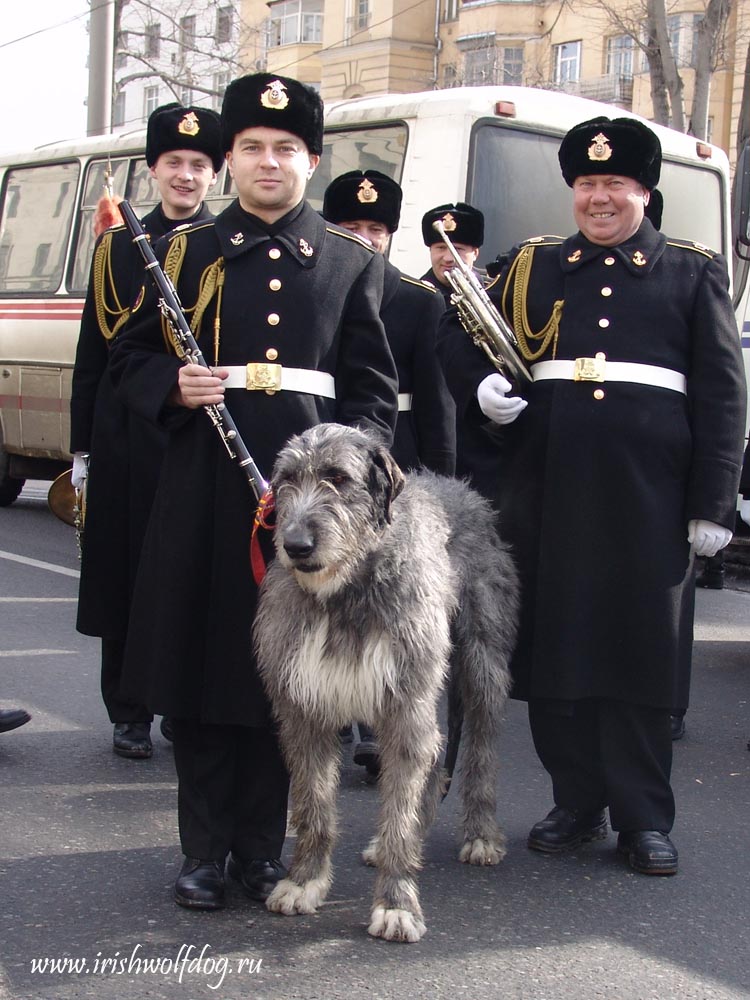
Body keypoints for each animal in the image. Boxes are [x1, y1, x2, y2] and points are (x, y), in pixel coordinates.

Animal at [256, 424, 520, 944]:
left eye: (338, 477)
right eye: (286, 479)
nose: (295, 545)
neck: (347, 590)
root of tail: (461, 488)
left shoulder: (404, 702)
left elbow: (400, 807)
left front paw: (396, 904)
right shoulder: (304, 706)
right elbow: (313, 806)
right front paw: (304, 881)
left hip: (479, 659)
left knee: (479, 746)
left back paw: (480, 833)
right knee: (435, 755)